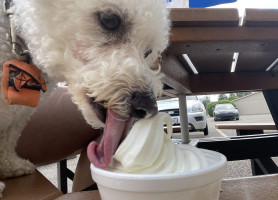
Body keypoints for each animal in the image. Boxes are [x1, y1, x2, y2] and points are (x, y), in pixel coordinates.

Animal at [0, 0, 169, 197]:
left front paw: (10, 166)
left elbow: (8, 138)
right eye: (110, 20)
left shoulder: (19, 116)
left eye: (148, 51)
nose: (148, 106)